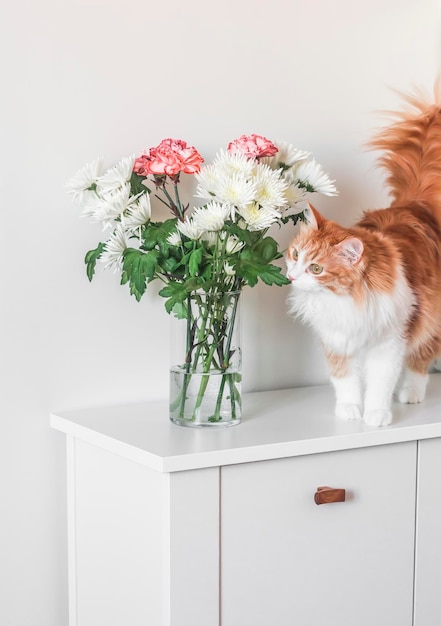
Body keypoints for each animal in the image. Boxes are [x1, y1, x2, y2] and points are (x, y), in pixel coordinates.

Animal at [288, 86, 440, 424]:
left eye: (316, 268)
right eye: (294, 254)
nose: (291, 275)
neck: (345, 301)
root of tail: (414, 206)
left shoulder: (390, 342)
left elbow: (381, 382)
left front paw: (376, 413)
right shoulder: (337, 340)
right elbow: (344, 380)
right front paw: (349, 410)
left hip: (431, 317)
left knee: (421, 357)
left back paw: (410, 392)